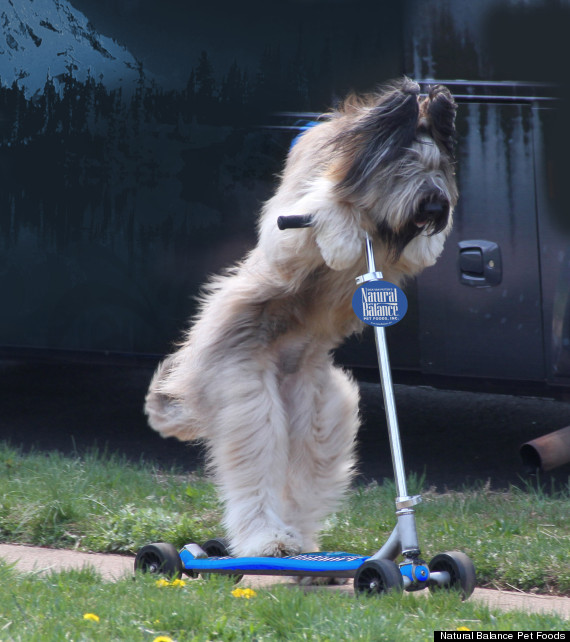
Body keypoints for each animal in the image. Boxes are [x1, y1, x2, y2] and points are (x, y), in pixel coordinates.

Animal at [144, 76, 454, 556]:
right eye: (407, 165)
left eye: (441, 167)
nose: (437, 208)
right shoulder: (287, 232)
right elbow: (316, 211)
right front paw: (341, 233)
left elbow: (412, 253)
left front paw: (428, 243)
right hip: (246, 395)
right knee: (256, 464)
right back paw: (266, 539)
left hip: (322, 415)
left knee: (307, 477)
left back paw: (303, 545)